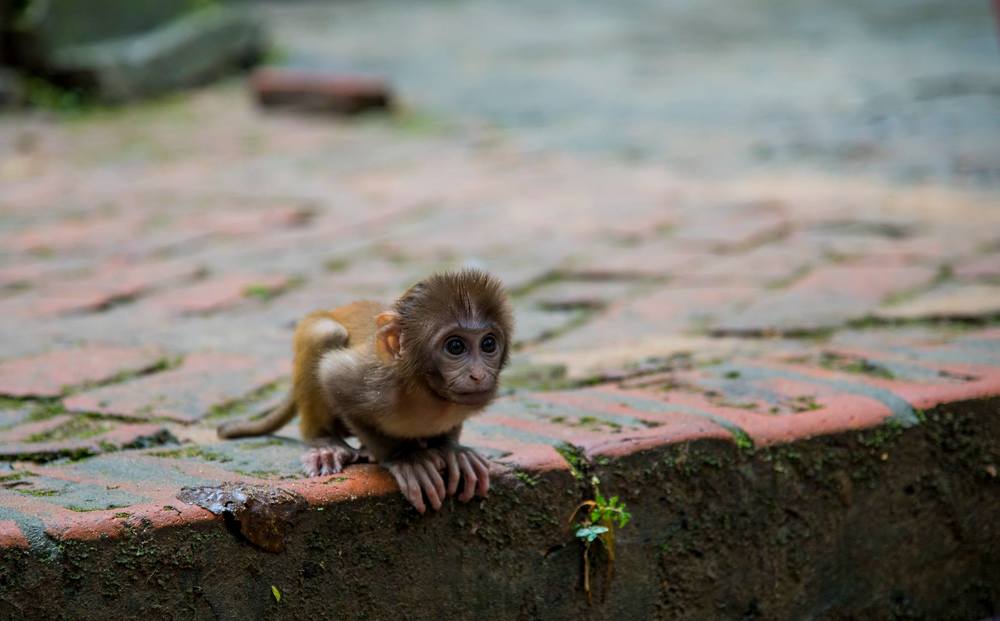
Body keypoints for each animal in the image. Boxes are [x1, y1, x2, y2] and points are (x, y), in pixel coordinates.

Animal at [218, 268, 513, 514]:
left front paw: (451, 449)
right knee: (326, 333)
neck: (427, 392)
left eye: (488, 344)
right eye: (455, 347)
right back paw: (325, 444)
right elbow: (332, 377)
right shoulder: (375, 383)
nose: (478, 374)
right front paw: (404, 457)